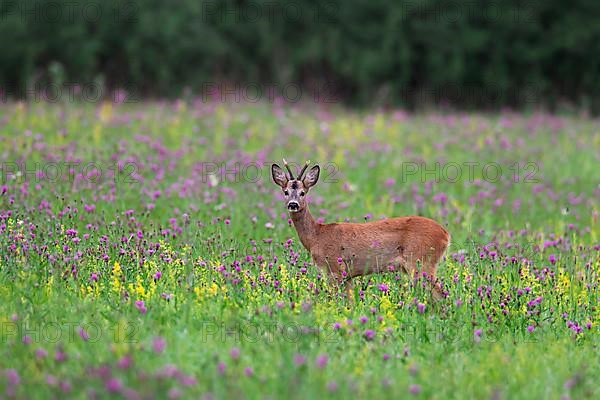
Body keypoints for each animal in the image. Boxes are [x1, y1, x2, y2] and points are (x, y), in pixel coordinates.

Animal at [272, 158, 450, 298]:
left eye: (303, 192)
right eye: (285, 191)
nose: (293, 204)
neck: (316, 236)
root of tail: (446, 235)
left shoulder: (335, 268)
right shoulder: (348, 276)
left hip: (421, 261)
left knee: (440, 294)